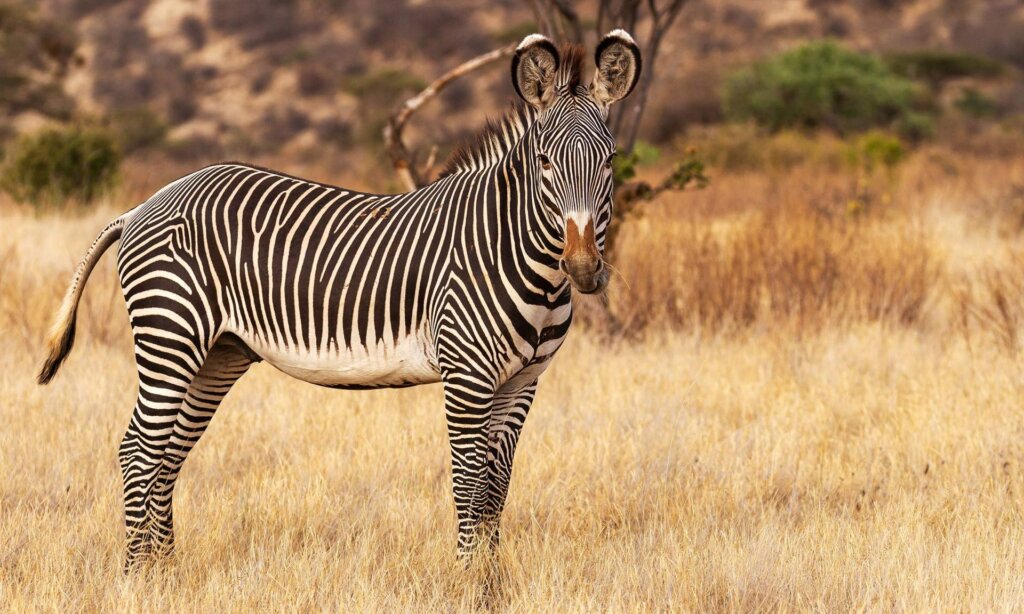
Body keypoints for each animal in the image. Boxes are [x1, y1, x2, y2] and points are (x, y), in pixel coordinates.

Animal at [37, 30, 642, 568]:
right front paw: (469, 582)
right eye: (545, 163)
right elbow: (469, 488)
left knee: (167, 455)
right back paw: (136, 576)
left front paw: (494, 584)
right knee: (138, 450)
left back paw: (166, 574)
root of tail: (144, 204)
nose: (583, 268)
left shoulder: (522, 383)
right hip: (171, 334)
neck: (519, 256)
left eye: (610, 161)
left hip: (217, 353)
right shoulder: (467, 376)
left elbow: (497, 489)